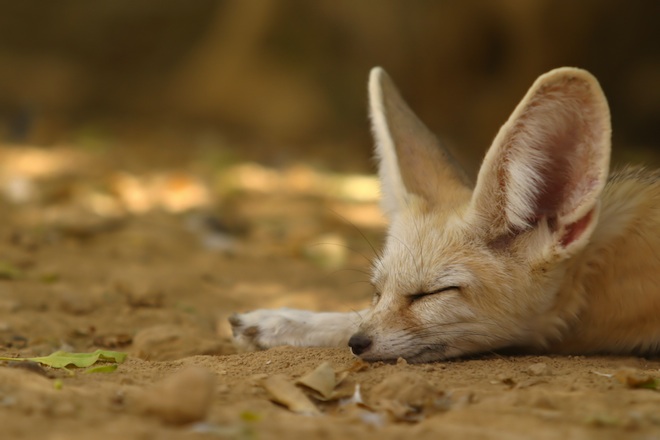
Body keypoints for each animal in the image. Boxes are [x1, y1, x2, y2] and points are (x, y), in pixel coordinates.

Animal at [231, 65, 660, 360]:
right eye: (376, 290)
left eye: (432, 294)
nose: (357, 344)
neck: (603, 267)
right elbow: (352, 314)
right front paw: (283, 321)